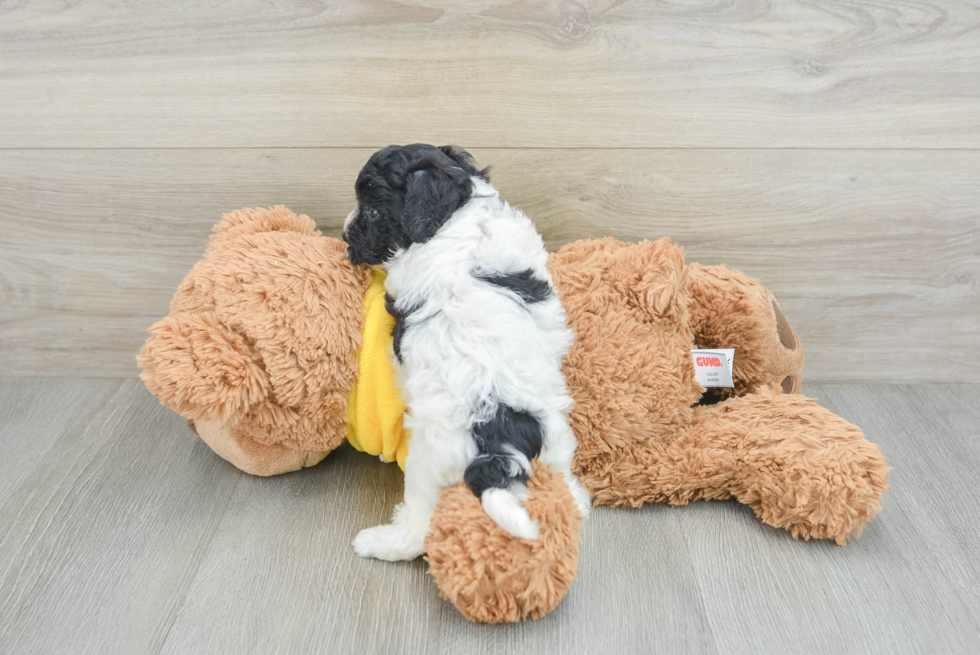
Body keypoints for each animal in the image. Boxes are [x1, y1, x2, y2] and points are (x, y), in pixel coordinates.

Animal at [344, 146, 588, 560]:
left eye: (373, 211)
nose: (345, 234)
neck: (455, 220)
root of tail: (498, 448)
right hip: (556, 441)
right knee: (561, 478)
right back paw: (578, 499)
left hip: (427, 463)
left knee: (419, 528)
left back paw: (381, 542)